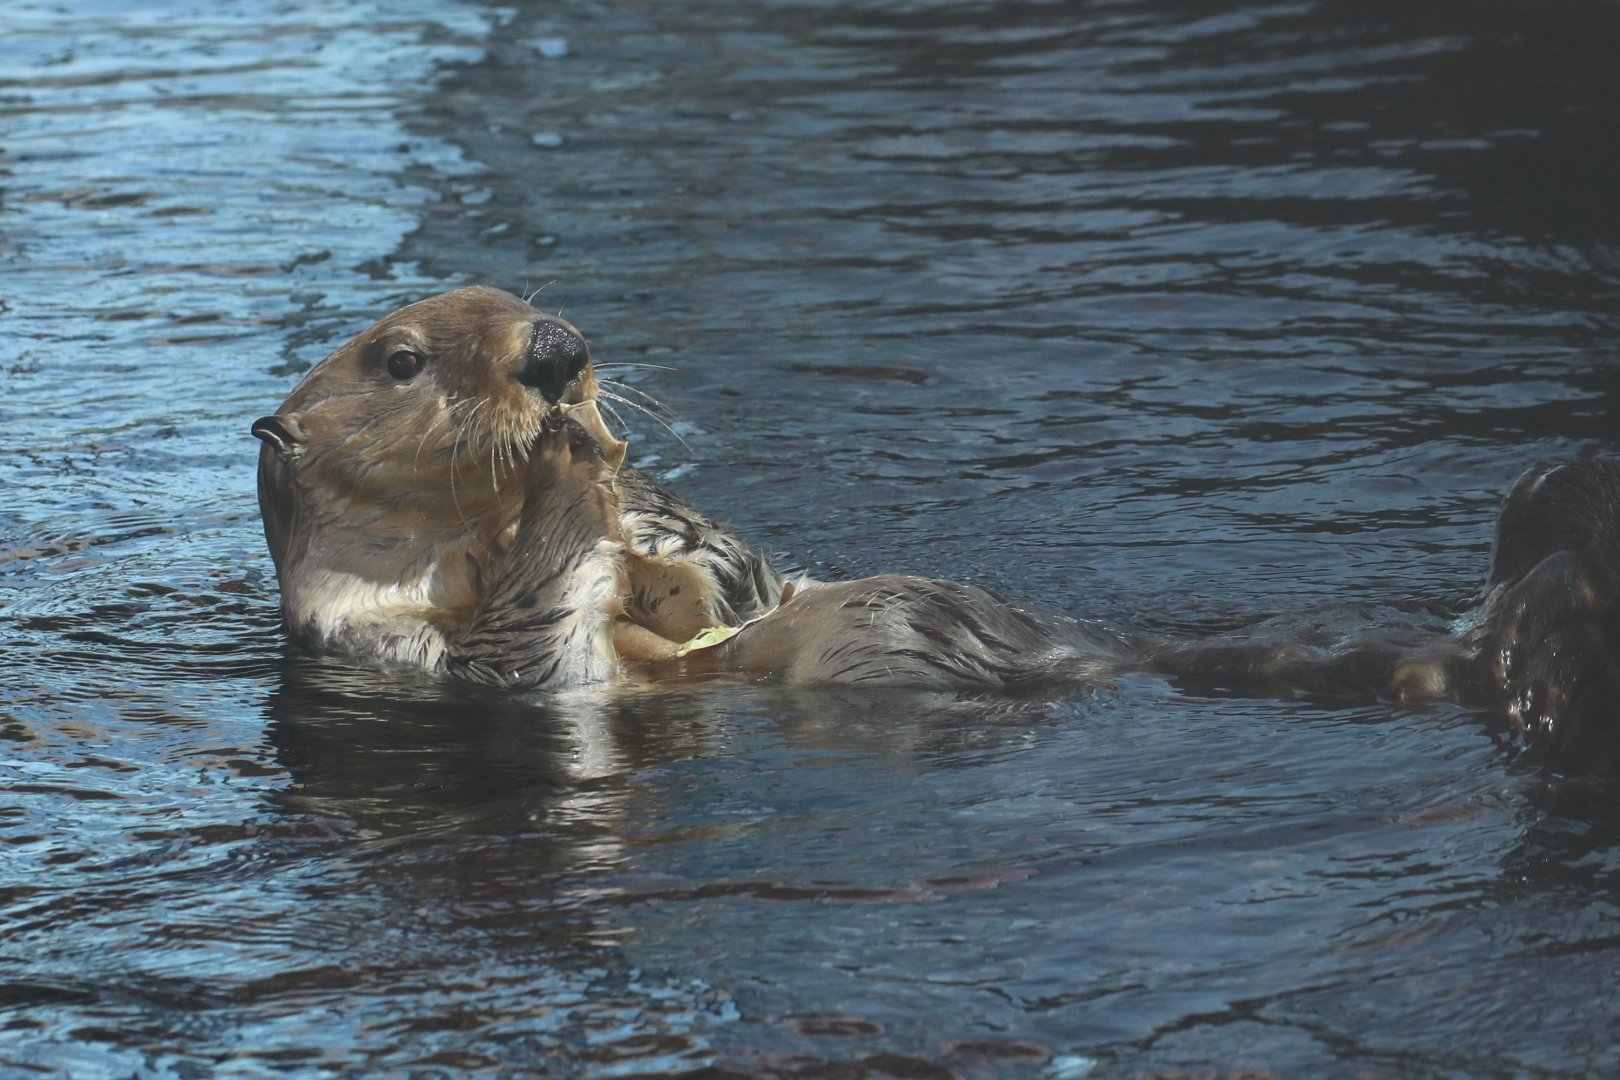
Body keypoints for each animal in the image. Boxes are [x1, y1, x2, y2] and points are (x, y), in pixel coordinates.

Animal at [252, 287, 1620, 768]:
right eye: (402, 359)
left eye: (524, 299)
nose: (557, 353)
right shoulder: (398, 651)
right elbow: (531, 652)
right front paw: (563, 477)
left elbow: (748, 571)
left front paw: (666, 516)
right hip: (1480, 663)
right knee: (1526, 655)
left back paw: (1566, 484)